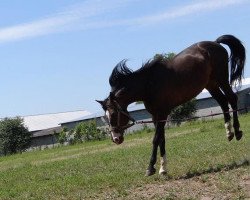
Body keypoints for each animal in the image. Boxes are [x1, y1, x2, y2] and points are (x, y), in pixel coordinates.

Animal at [97, 35, 246, 176]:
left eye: (114, 114)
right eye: (105, 116)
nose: (115, 138)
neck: (148, 84)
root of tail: (215, 43)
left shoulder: (163, 113)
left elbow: (156, 139)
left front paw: (150, 168)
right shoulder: (156, 116)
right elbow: (162, 140)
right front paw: (163, 169)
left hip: (221, 78)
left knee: (232, 99)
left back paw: (237, 132)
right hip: (211, 84)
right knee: (223, 102)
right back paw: (229, 133)